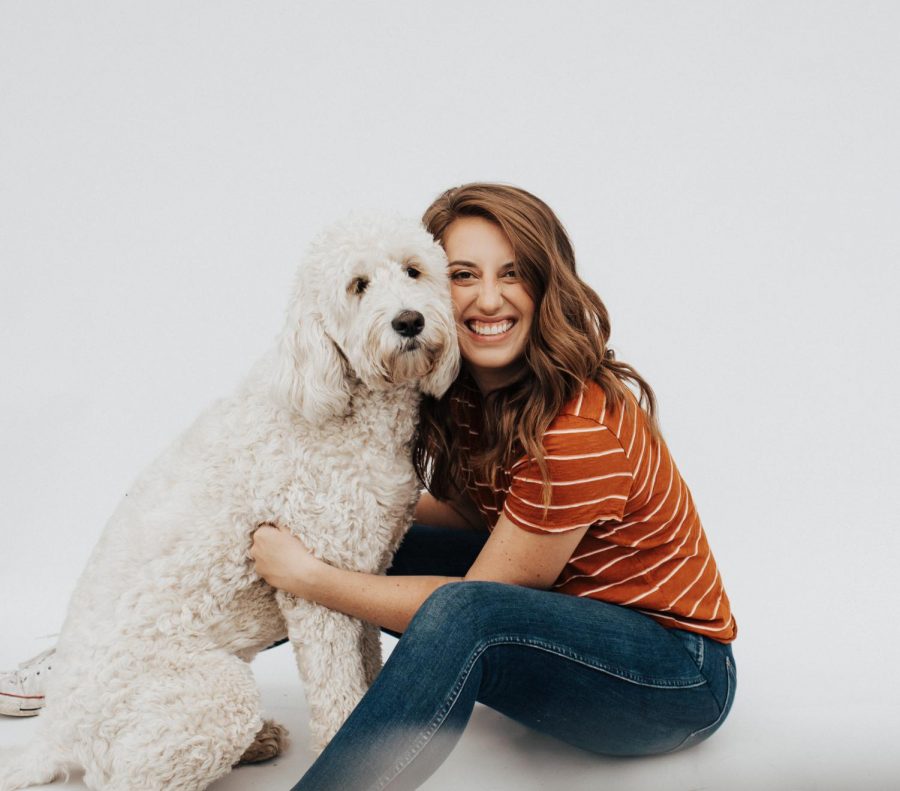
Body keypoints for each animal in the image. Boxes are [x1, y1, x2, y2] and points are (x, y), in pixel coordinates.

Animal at [0, 212, 460, 791]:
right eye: (358, 286)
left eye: (414, 270)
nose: (409, 321)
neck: (346, 405)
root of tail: (56, 730)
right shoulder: (316, 587)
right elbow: (338, 691)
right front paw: (345, 749)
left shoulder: (362, 574)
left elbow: (370, 665)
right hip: (215, 693)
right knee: (123, 778)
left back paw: (259, 741)